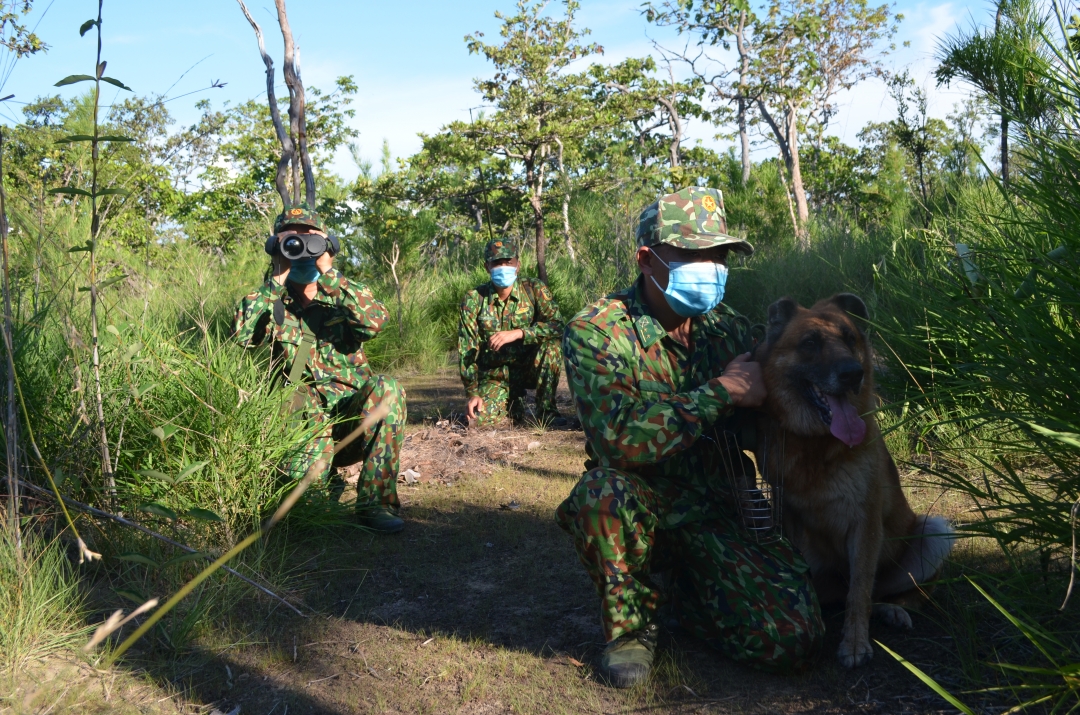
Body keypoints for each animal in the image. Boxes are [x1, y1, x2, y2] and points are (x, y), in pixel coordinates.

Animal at [756, 293, 950, 669]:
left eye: (849, 339)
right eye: (810, 343)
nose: (852, 374)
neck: (816, 445)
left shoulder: (865, 523)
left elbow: (859, 591)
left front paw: (855, 643)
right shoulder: (787, 516)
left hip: (934, 532)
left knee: (897, 594)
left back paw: (893, 610)